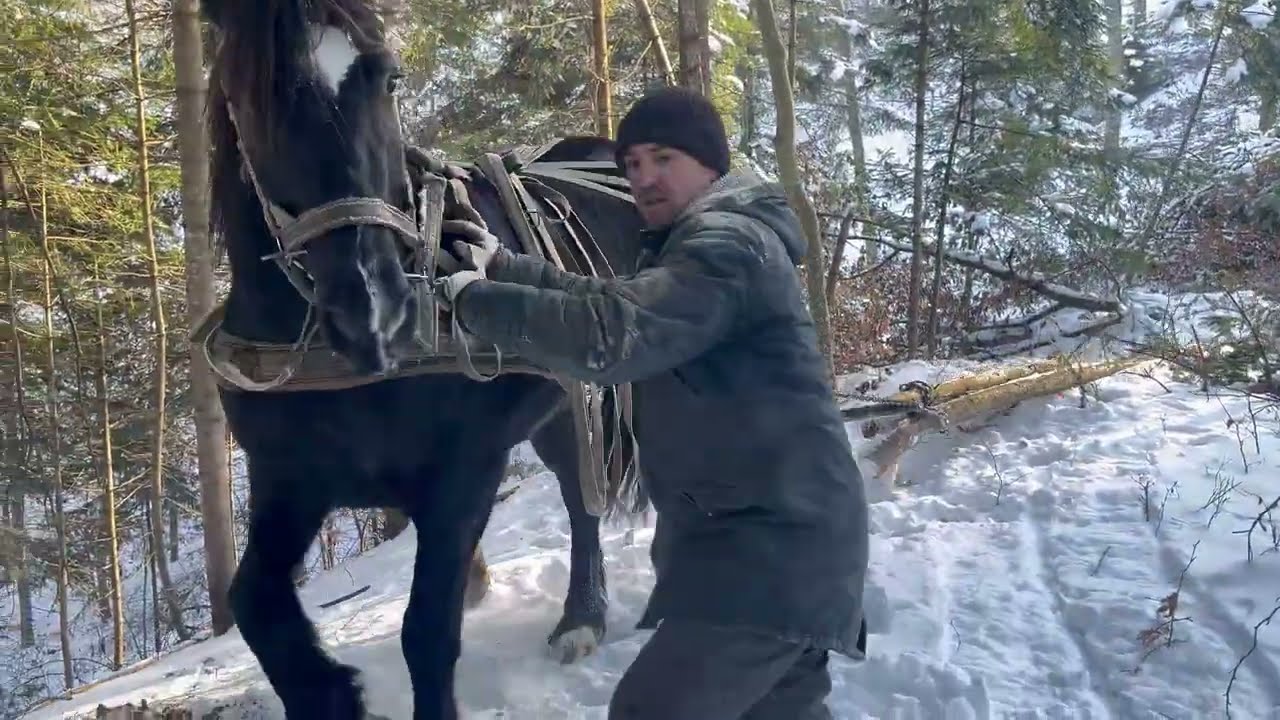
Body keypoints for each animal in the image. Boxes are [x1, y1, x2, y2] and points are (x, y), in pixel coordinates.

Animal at [196, 0, 647, 717]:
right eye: (249, 95)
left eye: (391, 80)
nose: (372, 308)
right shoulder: (289, 480)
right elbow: (253, 602)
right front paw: (331, 691)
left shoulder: (467, 467)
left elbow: (428, 630)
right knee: (580, 491)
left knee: (593, 494)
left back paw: (586, 617)